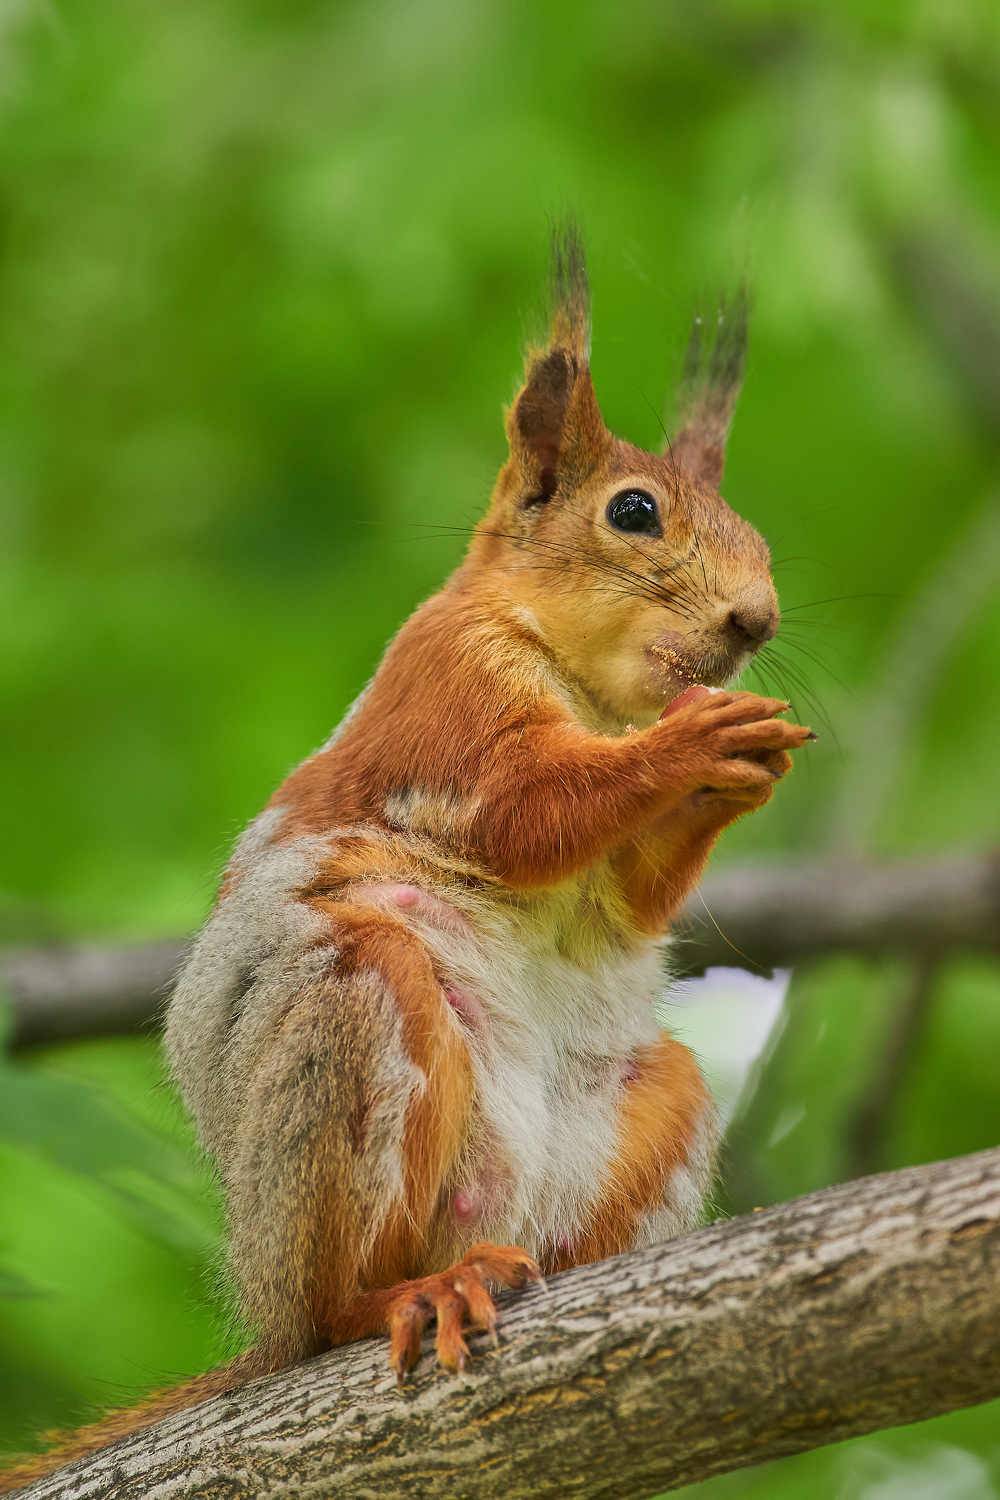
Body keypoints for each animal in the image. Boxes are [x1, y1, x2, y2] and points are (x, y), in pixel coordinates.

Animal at [0, 227, 812, 1491]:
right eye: (633, 512)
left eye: (760, 536)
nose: (755, 622)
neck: (585, 685)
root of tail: (267, 1312)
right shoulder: (447, 704)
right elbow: (527, 814)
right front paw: (692, 745)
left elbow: (627, 899)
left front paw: (739, 768)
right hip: (356, 1022)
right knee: (340, 1297)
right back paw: (398, 1296)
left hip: (648, 1106)